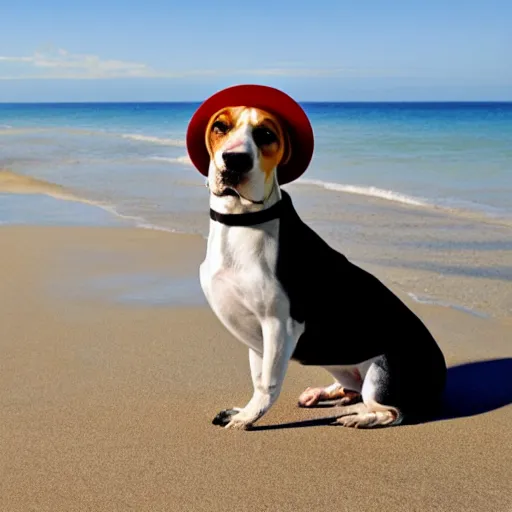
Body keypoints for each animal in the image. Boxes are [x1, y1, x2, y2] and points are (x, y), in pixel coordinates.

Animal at [186, 86, 446, 430]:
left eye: (266, 134)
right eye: (220, 126)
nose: (235, 160)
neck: (241, 221)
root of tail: (441, 373)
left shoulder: (278, 324)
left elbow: (267, 383)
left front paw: (247, 417)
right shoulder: (257, 335)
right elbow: (257, 378)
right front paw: (244, 410)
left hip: (383, 371)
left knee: (391, 411)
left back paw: (358, 417)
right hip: (342, 362)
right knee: (353, 388)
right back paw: (327, 394)